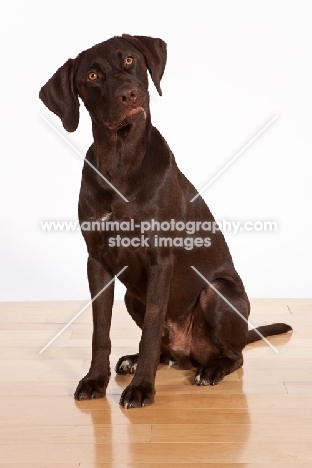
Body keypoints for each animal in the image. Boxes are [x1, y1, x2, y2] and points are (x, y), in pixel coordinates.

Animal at [39, 33, 292, 406]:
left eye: (130, 60)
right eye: (92, 76)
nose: (128, 94)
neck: (121, 160)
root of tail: (188, 355)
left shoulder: (160, 261)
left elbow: (151, 328)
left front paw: (142, 388)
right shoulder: (97, 261)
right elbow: (101, 331)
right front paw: (95, 380)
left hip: (216, 293)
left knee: (233, 355)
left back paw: (211, 369)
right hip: (132, 296)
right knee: (161, 347)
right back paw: (136, 361)